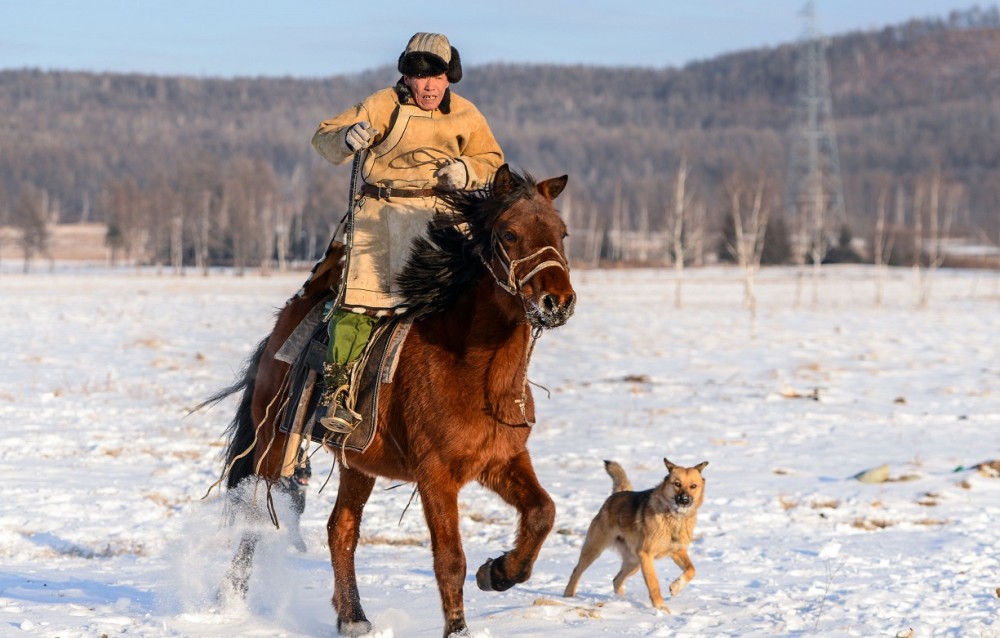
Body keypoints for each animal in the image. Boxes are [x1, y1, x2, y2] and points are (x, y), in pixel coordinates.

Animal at [217, 166, 580, 638]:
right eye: (510, 233)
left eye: (561, 232)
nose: (558, 302)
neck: (474, 372)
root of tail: (284, 326)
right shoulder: (436, 476)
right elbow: (450, 559)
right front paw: (459, 628)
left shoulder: (502, 460)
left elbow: (542, 513)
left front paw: (499, 573)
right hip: (274, 445)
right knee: (256, 517)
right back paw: (233, 599)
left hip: (358, 463)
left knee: (341, 529)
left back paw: (352, 617)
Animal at [564, 458, 712, 612]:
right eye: (677, 484)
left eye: (693, 486)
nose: (684, 499)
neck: (674, 518)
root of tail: (617, 494)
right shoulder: (646, 555)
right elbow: (654, 583)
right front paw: (660, 608)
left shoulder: (677, 551)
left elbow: (692, 570)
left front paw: (676, 587)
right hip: (595, 549)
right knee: (577, 571)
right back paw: (568, 596)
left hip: (633, 561)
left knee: (616, 580)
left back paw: (621, 601)